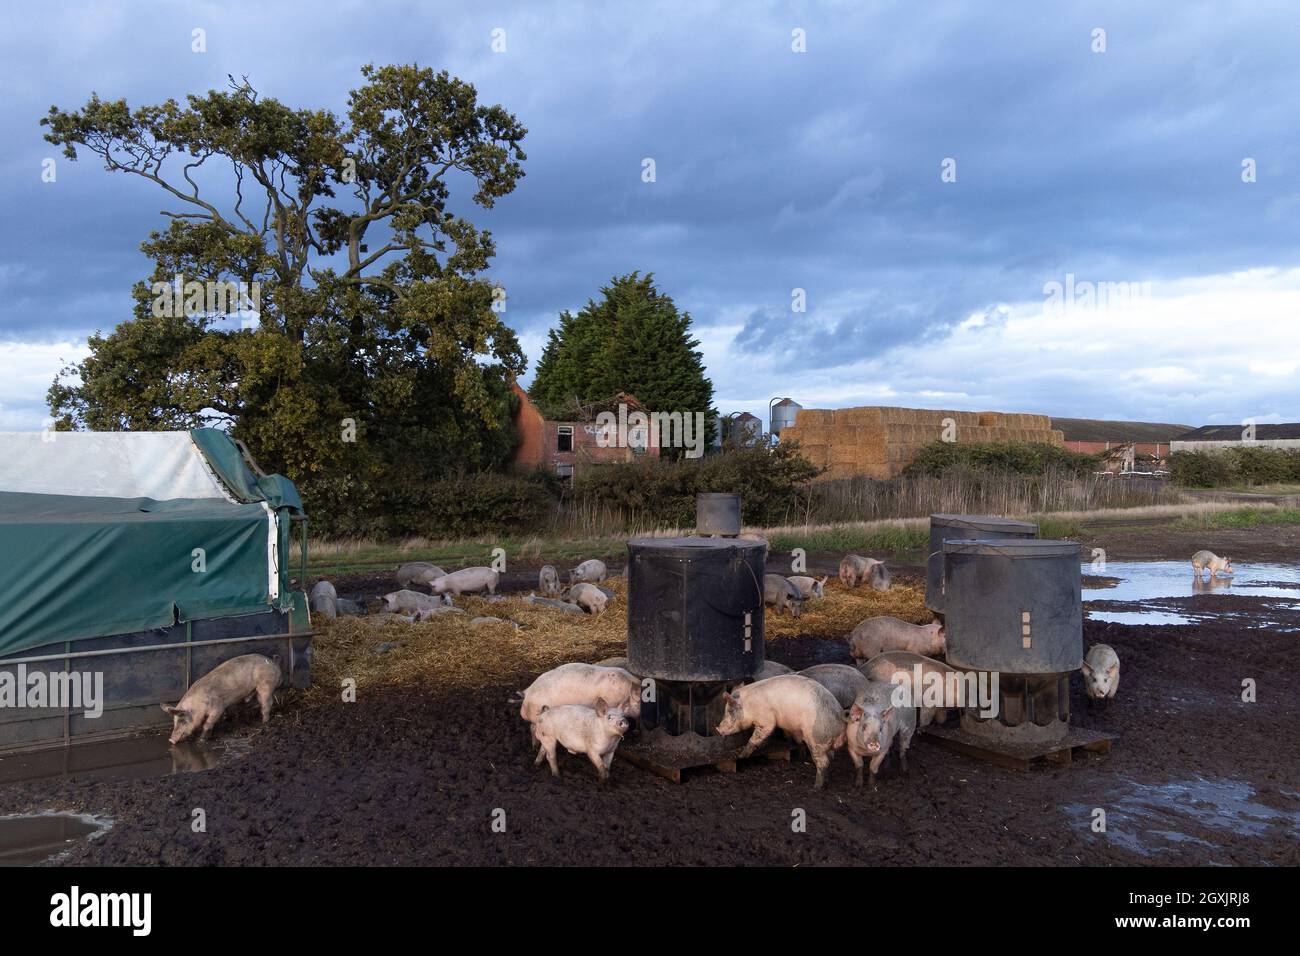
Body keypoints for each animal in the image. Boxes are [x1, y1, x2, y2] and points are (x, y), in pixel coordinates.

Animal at [717, 676, 847, 790]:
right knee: (830, 759)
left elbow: (757, 737)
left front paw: (740, 756)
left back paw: (816, 787)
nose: (718, 729)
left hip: (816, 739)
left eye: (730, 711)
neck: (749, 706)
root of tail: (840, 722)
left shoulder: (765, 720)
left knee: (823, 762)